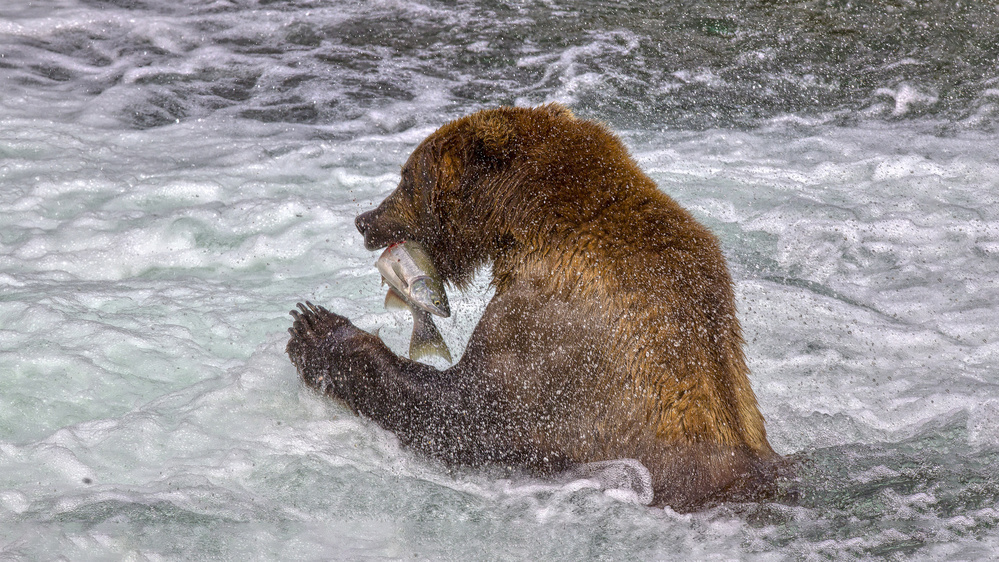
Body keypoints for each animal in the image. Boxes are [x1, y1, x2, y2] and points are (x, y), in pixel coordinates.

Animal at [286, 103, 784, 510]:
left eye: (406, 177)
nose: (363, 219)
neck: (526, 224)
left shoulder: (553, 323)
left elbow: (465, 413)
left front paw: (314, 328)